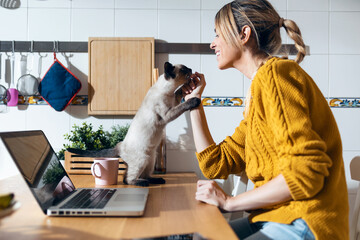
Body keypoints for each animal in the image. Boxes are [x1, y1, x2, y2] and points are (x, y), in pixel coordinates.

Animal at [67, 61, 201, 186]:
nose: (191, 69)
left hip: (150, 160)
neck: (168, 93)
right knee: (127, 179)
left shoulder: (174, 101)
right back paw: (142, 183)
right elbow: (183, 105)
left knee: (140, 175)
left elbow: (179, 93)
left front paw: (187, 87)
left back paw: (157, 180)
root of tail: (119, 145)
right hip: (142, 160)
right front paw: (195, 100)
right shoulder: (168, 114)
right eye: (184, 69)